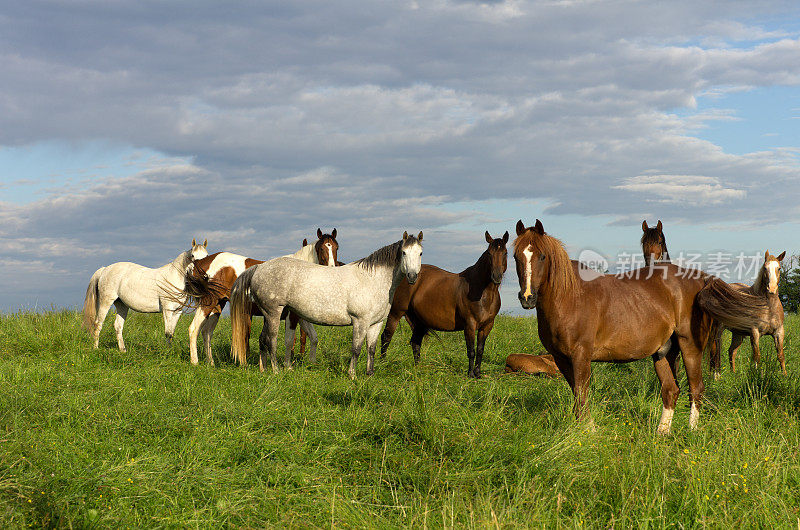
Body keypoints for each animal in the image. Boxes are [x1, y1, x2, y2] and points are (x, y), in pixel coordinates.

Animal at [183, 227, 340, 364]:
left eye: (336, 247)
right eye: (322, 248)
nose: (332, 269)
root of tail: (201, 262)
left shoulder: (299, 315)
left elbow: (313, 337)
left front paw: (311, 364)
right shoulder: (291, 315)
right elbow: (289, 340)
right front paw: (287, 366)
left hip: (218, 305)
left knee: (206, 332)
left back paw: (211, 362)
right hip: (208, 302)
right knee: (194, 329)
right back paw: (195, 362)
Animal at [228, 230, 422, 376]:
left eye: (420, 253)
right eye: (404, 253)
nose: (413, 276)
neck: (372, 279)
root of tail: (259, 268)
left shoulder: (376, 323)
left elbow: (371, 349)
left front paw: (370, 374)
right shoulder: (360, 322)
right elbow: (356, 348)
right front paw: (352, 375)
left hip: (268, 315)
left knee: (262, 339)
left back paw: (264, 369)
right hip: (274, 313)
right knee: (271, 340)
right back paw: (276, 370)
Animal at [380, 228, 506, 376]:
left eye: (505, 253)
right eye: (489, 254)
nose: (496, 277)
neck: (482, 292)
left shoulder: (487, 325)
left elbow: (480, 350)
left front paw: (478, 374)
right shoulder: (469, 324)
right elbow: (471, 350)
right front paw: (470, 374)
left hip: (418, 319)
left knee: (415, 342)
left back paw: (418, 368)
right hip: (395, 313)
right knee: (386, 337)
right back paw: (382, 364)